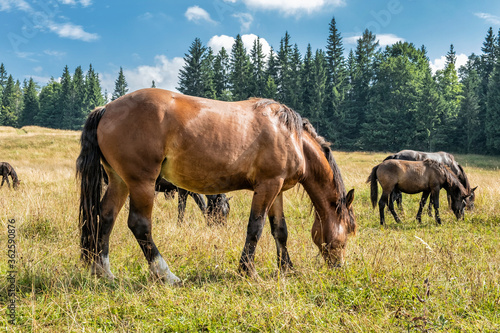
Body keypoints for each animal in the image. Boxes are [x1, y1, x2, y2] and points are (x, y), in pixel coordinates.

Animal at [75, 87, 356, 282]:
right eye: (349, 232)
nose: (339, 267)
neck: (290, 135)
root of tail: (107, 108)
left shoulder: (277, 190)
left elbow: (280, 230)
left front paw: (287, 268)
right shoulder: (267, 187)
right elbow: (255, 228)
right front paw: (247, 271)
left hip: (119, 181)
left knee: (106, 216)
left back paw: (103, 271)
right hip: (141, 183)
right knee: (139, 225)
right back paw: (166, 275)